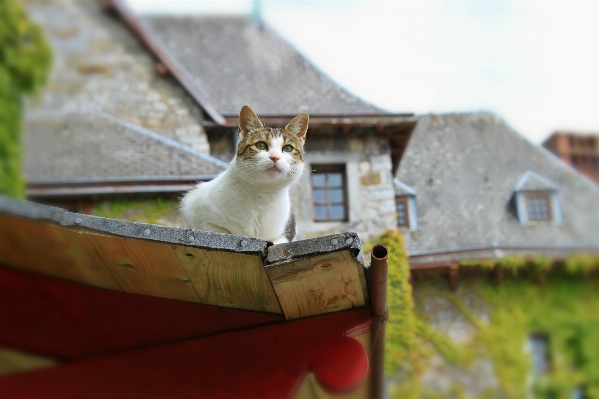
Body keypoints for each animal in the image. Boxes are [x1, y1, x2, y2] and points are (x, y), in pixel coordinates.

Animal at [180, 104, 308, 244]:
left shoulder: (288, 231)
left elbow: (277, 241)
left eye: (288, 148)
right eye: (261, 145)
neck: (263, 194)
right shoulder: (194, 207)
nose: (275, 157)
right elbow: (221, 230)